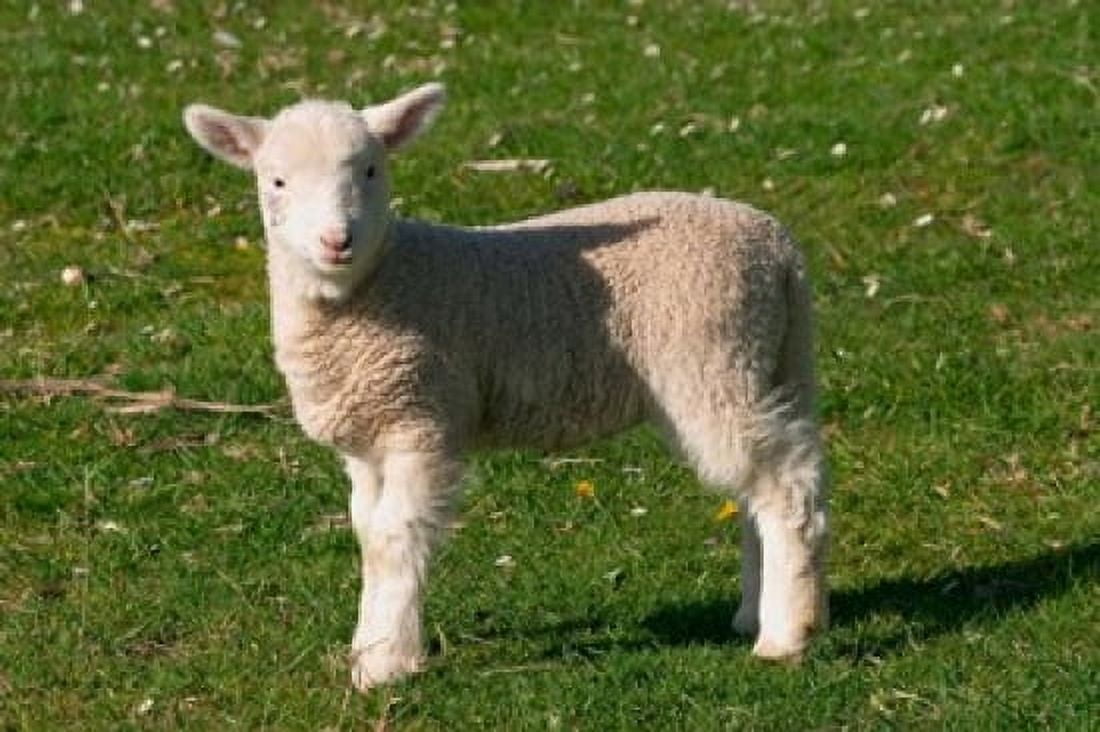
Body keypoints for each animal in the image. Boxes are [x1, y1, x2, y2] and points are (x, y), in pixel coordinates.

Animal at [183, 82, 828, 691]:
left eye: (371, 170)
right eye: (277, 181)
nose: (336, 240)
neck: (379, 283)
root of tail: (779, 249)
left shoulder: (423, 418)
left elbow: (395, 538)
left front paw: (388, 663)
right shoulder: (369, 437)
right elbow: (368, 534)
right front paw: (368, 646)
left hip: (710, 357)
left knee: (786, 485)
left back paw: (785, 635)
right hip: (770, 360)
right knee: (766, 482)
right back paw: (757, 611)